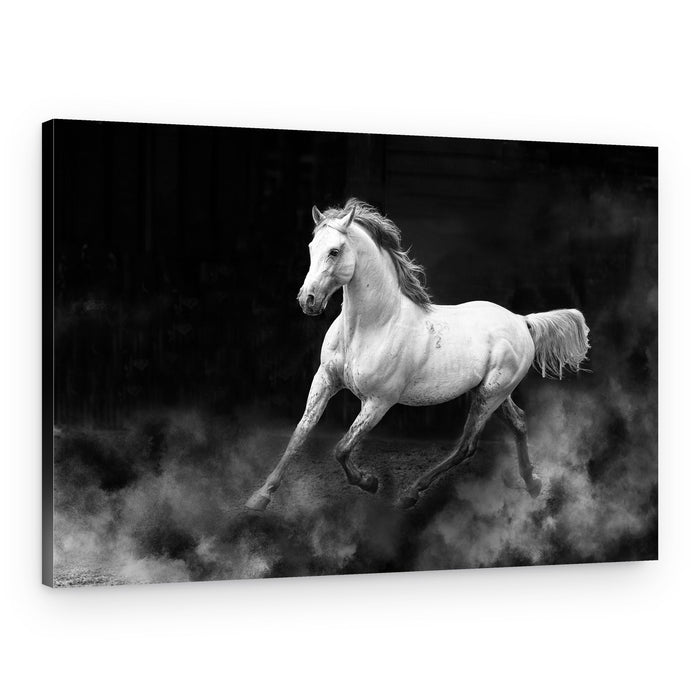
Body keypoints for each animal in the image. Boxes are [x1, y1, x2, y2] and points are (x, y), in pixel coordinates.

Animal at [245, 198, 590, 511]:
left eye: (334, 251)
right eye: (311, 247)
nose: (308, 300)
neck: (372, 327)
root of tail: (521, 320)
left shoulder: (379, 402)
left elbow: (341, 448)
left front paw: (370, 482)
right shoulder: (324, 380)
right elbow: (300, 433)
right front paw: (260, 496)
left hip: (490, 395)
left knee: (467, 445)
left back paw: (410, 494)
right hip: (492, 392)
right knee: (518, 422)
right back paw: (532, 483)